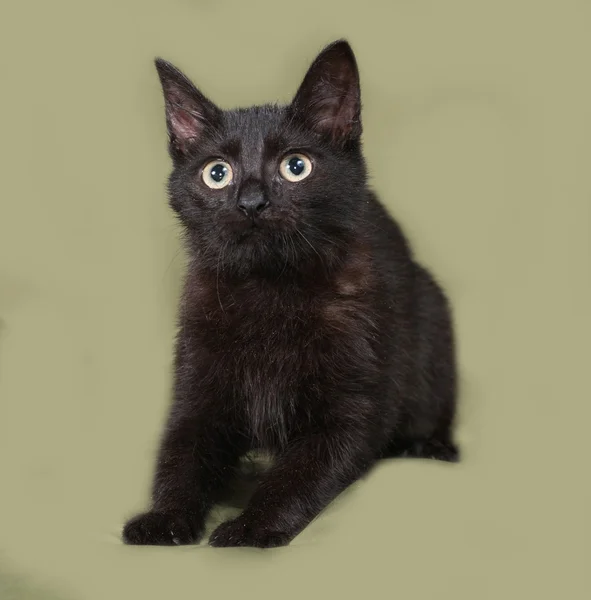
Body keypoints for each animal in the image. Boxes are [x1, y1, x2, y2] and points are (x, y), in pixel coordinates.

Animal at [122, 38, 460, 548]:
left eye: (296, 166)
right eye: (216, 173)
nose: (251, 202)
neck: (269, 290)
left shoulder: (352, 406)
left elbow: (300, 473)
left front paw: (252, 525)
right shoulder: (196, 380)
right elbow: (179, 453)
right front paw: (166, 518)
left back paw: (430, 446)